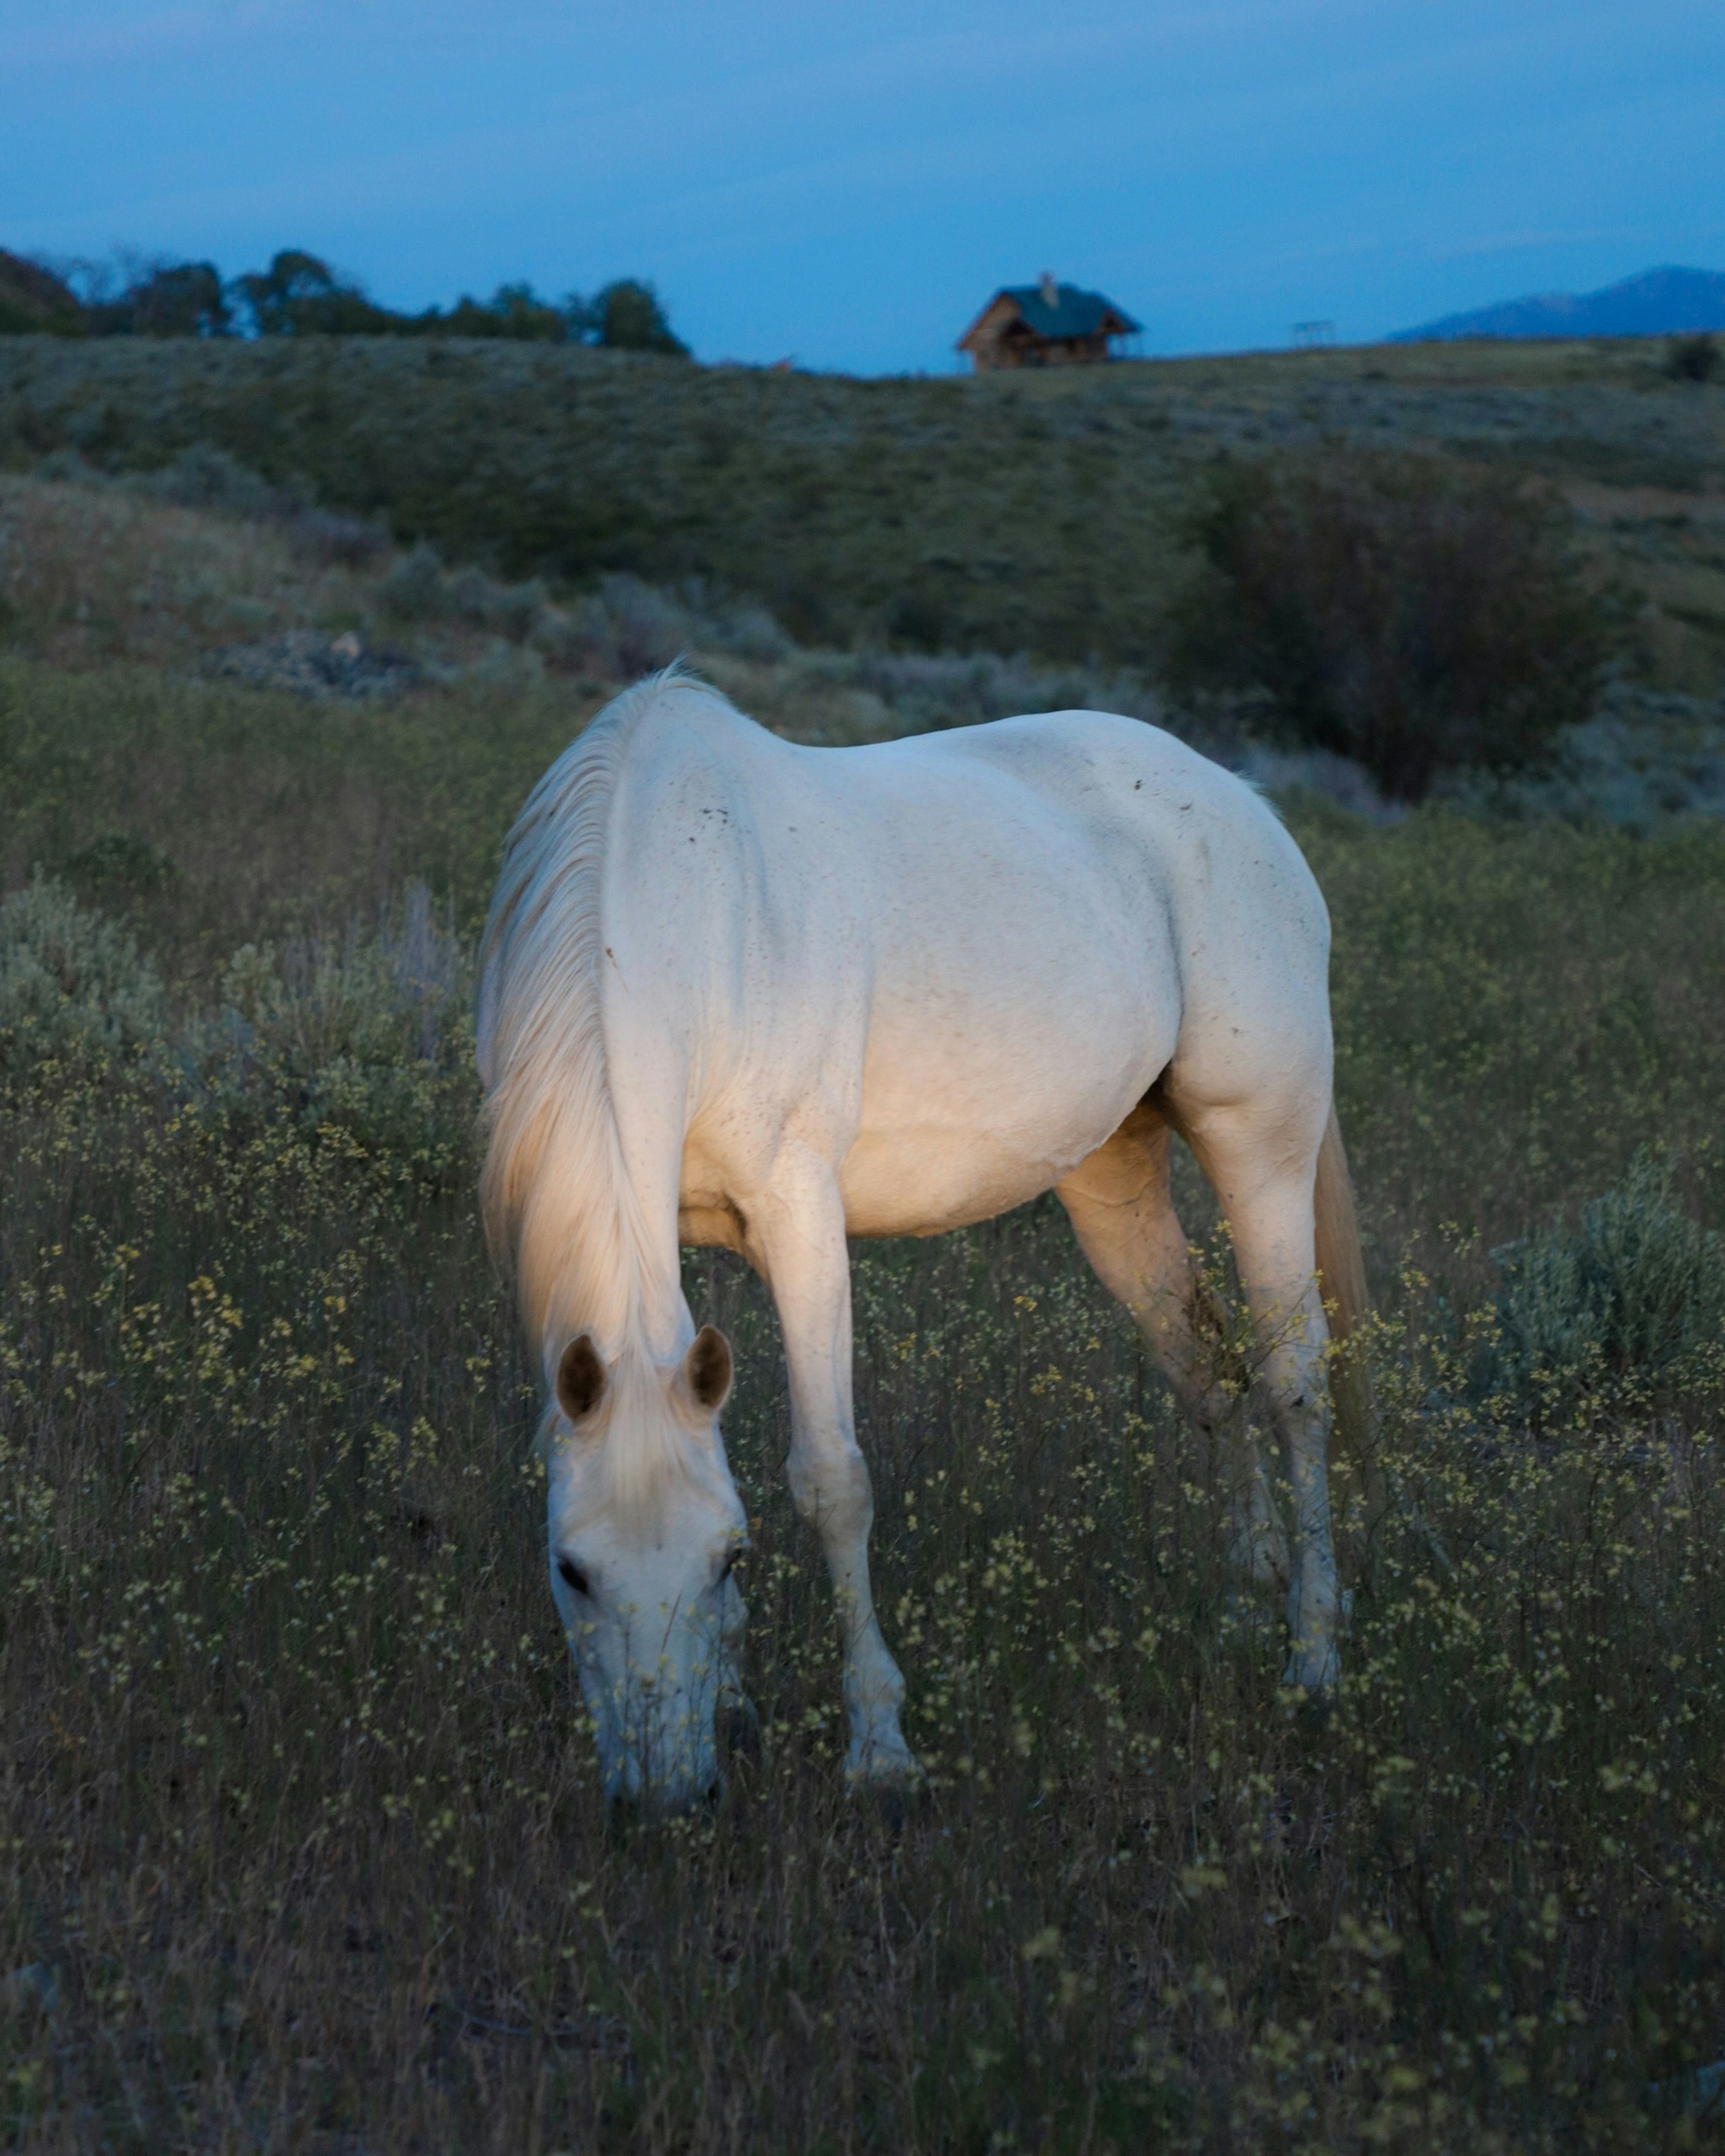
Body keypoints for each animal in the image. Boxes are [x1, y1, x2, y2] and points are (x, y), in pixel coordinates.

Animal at [477, 668, 1367, 1811]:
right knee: (1207, 1374)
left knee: (1294, 1385)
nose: (670, 1797)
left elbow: (832, 1480)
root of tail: (1241, 803)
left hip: (1260, 1149)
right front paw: (737, 1705)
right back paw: (1247, 1610)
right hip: (1112, 1182)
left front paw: (879, 1748)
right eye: (572, 1570)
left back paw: (1312, 1657)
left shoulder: (800, 1219)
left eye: (726, 1559)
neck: (688, 909)